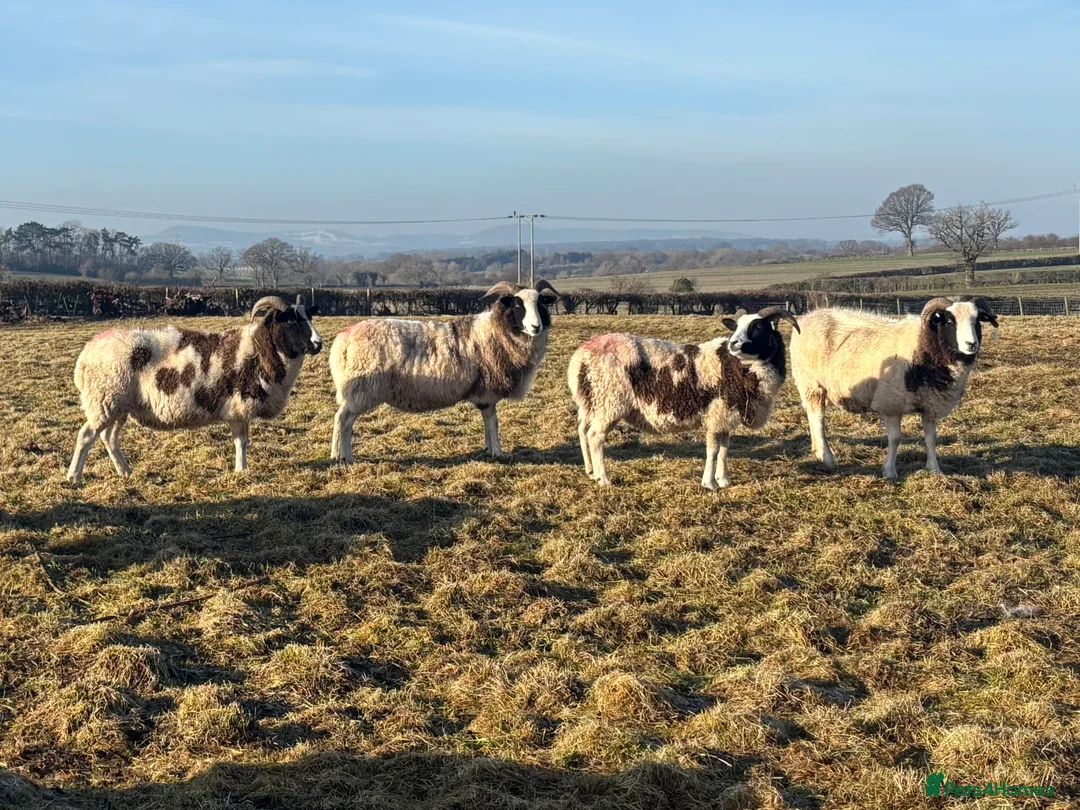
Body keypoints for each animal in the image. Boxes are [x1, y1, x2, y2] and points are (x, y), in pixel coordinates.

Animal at [67, 296, 322, 485]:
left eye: (309, 317)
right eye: (291, 322)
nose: (318, 344)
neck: (260, 350)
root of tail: (86, 355)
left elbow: (242, 441)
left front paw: (241, 469)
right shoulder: (238, 408)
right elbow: (241, 442)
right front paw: (241, 470)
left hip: (118, 406)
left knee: (109, 438)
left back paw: (125, 472)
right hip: (105, 400)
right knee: (86, 435)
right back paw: (74, 477)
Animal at [329, 279, 560, 462]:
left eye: (540, 303)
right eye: (517, 304)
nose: (536, 327)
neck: (496, 331)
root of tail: (344, 340)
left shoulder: (484, 392)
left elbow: (487, 421)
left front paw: (487, 447)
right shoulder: (487, 390)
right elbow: (492, 421)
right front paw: (496, 451)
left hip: (355, 390)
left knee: (344, 420)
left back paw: (339, 455)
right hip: (362, 388)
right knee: (343, 419)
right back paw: (343, 457)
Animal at [567, 306, 800, 489]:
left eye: (758, 327)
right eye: (735, 327)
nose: (733, 344)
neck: (736, 367)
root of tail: (581, 356)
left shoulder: (725, 417)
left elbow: (724, 450)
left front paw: (724, 480)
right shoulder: (716, 414)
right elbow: (713, 450)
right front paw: (709, 483)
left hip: (591, 402)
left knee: (583, 431)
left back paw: (590, 472)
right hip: (609, 402)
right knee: (595, 437)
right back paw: (603, 479)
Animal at [789, 296, 998, 479]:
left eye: (977, 320)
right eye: (948, 320)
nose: (971, 344)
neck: (923, 346)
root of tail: (807, 317)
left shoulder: (930, 405)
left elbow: (931, 438)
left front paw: (935, 469)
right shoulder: (891, 404)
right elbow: (895, 439)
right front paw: (889, 471)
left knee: (811, 415)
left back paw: (816, 450)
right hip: (811, 383)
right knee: (818, 419)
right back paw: (827, 458)